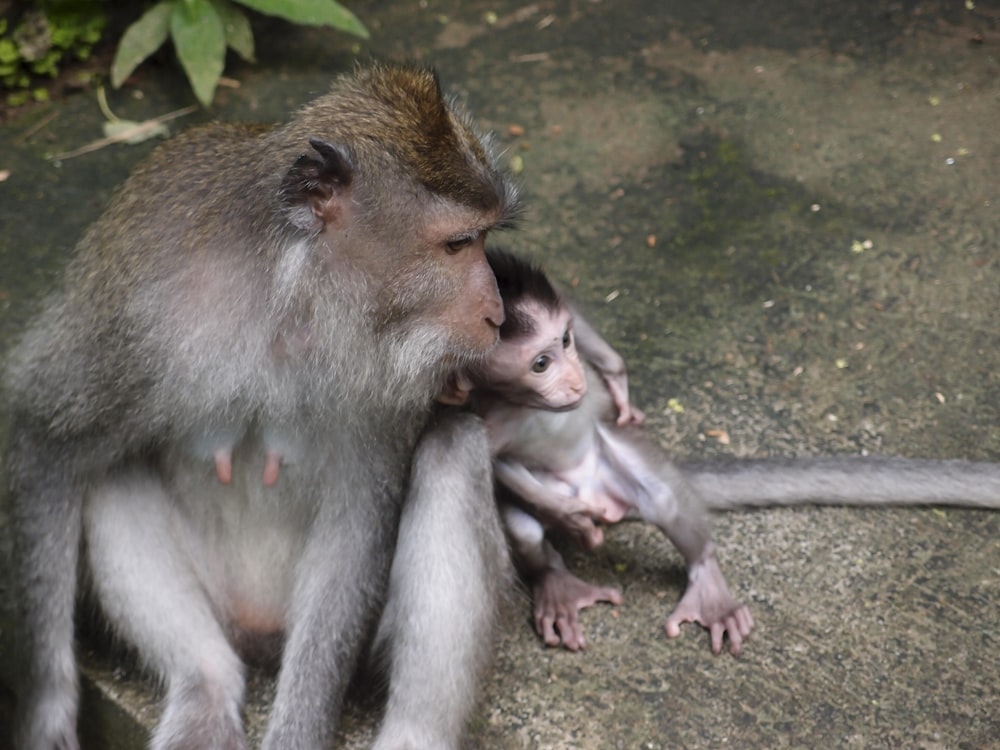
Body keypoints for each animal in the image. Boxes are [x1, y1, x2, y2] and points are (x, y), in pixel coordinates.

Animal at [7, 64, 520, 750]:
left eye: (486, 238)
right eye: (459, 243)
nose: (497, 314)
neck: (292, 297)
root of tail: (258, 631)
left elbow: (357, 527)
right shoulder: (136, 308)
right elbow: (46, 437)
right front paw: (44, 713)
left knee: (452, 453)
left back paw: (413, 733)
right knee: (106, 469)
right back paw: (205, 689)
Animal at [442, 248, 752, 656]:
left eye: (566, 340)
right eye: (541, 364)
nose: (576, 381)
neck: (524, 405)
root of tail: (597, 493)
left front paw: (617, 379)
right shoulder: (488, 421)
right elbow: (497, 462)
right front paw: (570, 518)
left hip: (609, 460)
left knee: (665, 500)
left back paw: (708, 584)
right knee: (525, 531)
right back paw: (559, 583)